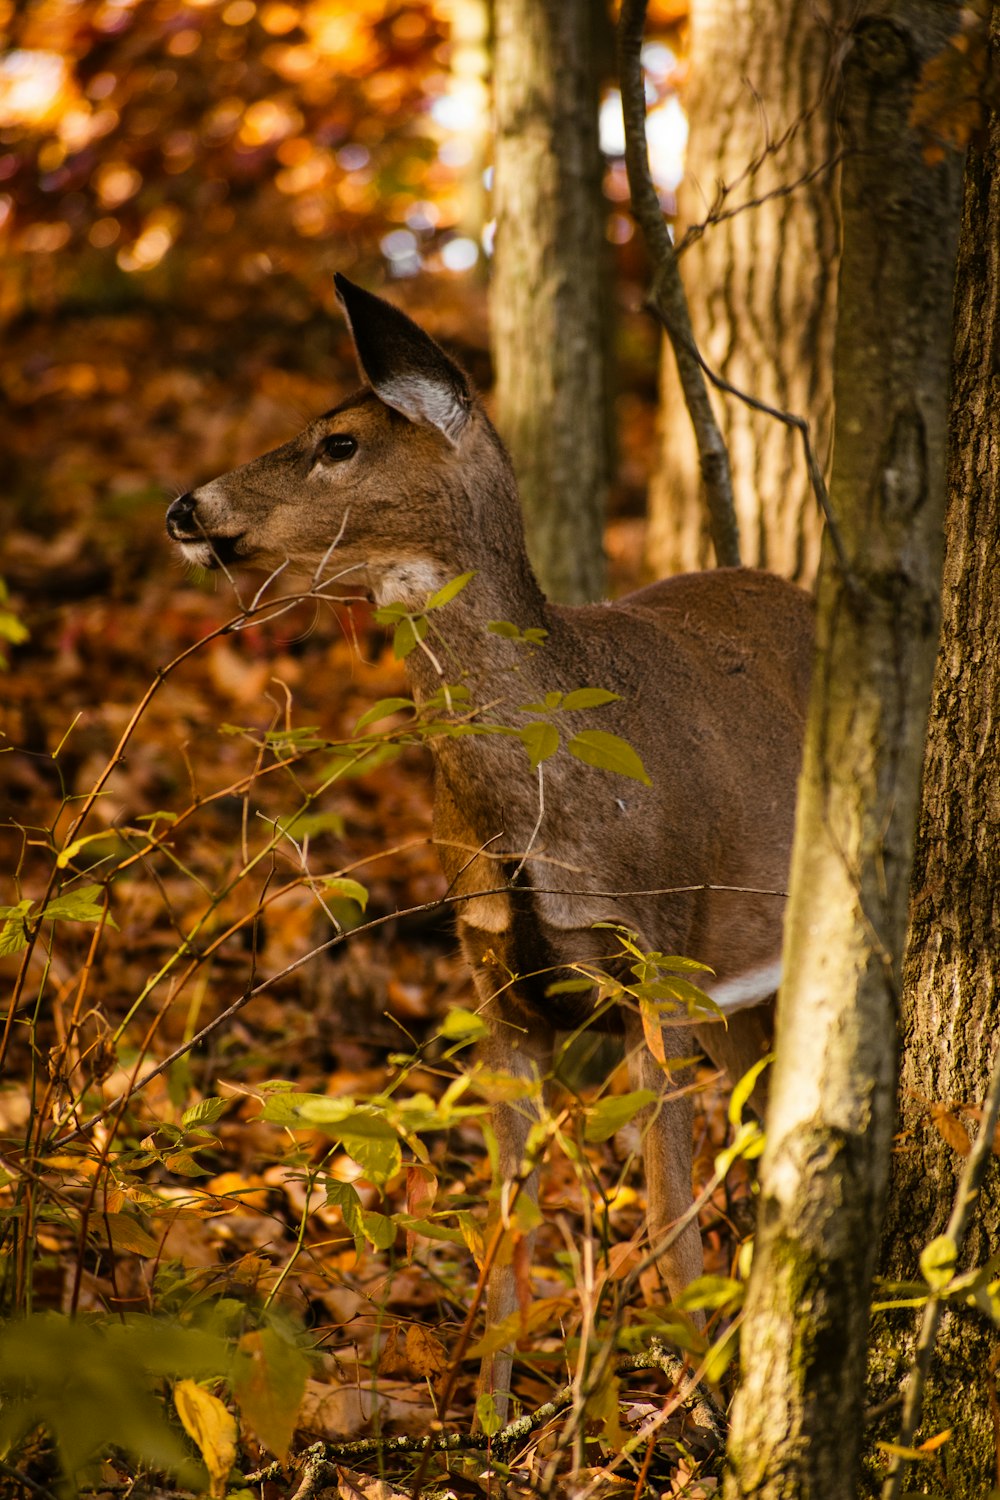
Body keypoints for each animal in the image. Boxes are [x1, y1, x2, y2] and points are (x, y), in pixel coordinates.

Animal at [167, 273, 815, 1416]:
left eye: (337, 441)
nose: (186, 508)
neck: (545, 815)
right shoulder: (498, 983)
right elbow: (506, 1233)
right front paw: (491, 1413)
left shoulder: (655, 962)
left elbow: (667, 1224)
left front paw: (689, 1409)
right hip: (740, 988)